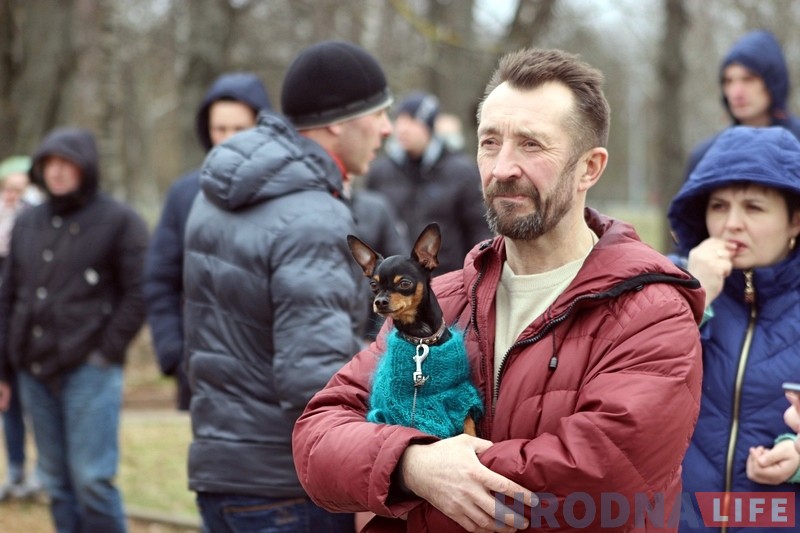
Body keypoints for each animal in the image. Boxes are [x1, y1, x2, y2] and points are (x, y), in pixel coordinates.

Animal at [347, 222, 483, 439]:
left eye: (404, 283)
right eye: (373, 285)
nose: (380, 301)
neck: (420, 337)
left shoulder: (458, 394)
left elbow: (468, 420)